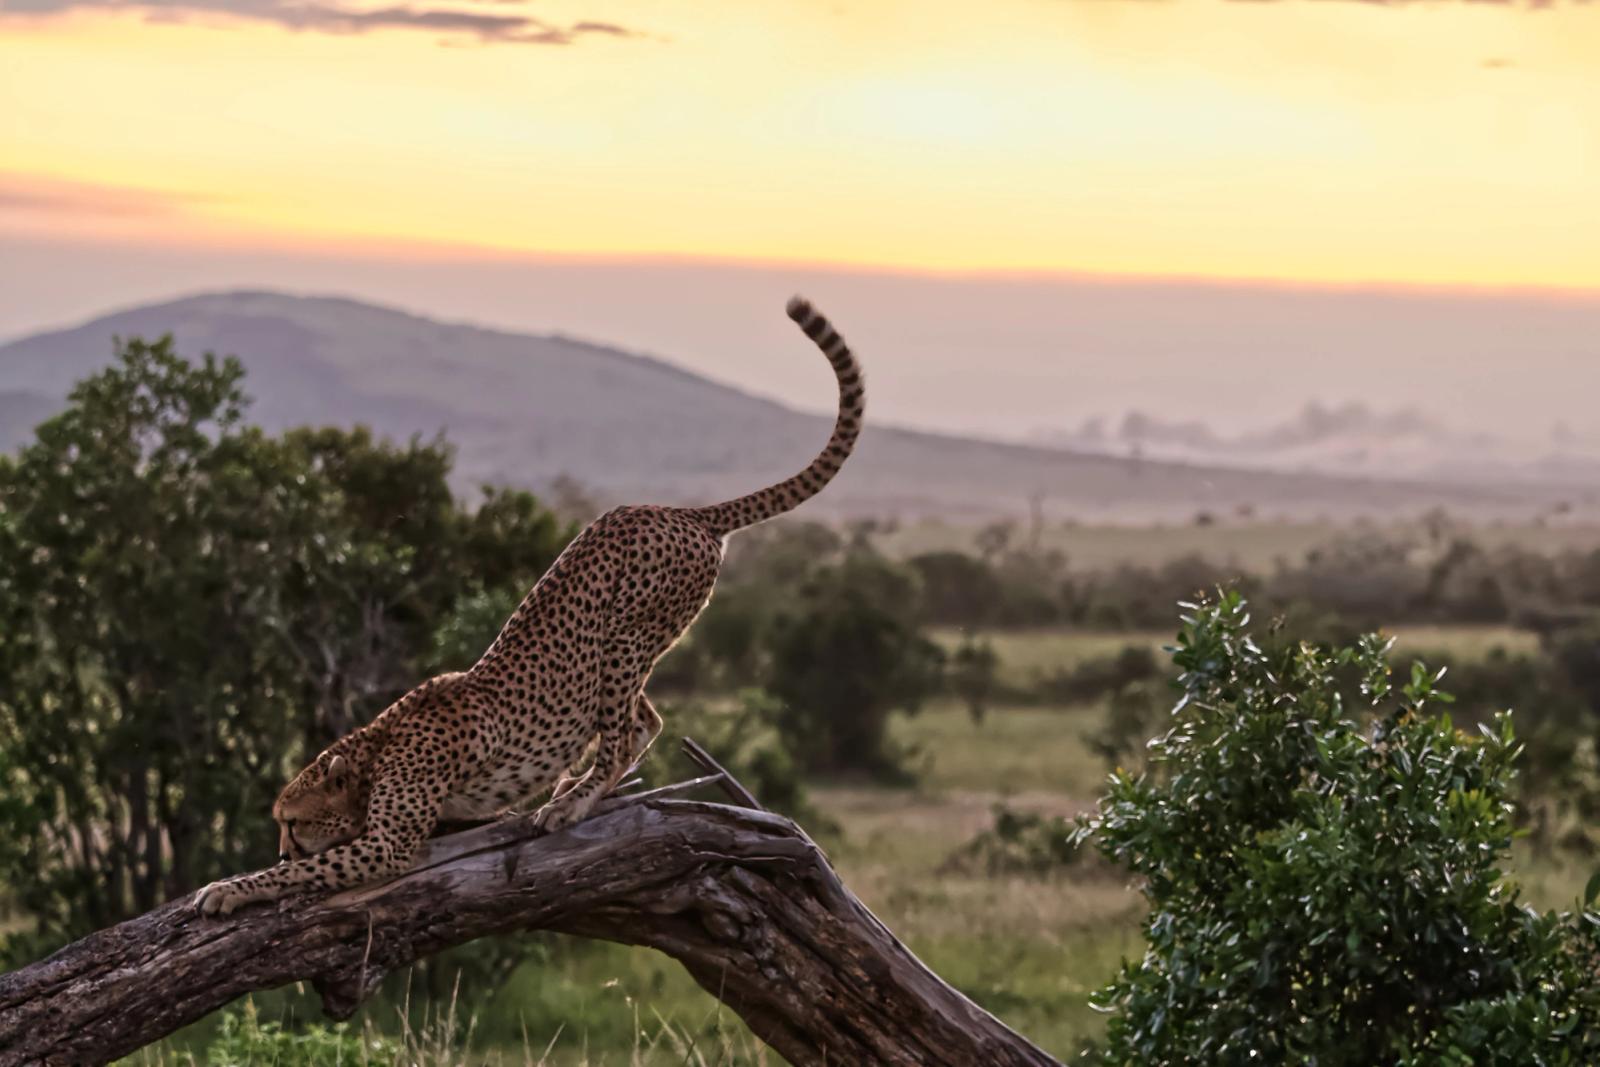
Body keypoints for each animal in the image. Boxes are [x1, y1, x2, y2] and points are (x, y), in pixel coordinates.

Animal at [196, 296, 865, 916]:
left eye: (293, 821)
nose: (282, 847)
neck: (373, 753)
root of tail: (681, 512)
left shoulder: (391, 843)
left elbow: (315, 868)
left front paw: (231, 887)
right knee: (646, 720)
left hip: (625, 640)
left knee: (624, 733)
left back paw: (571, 803)